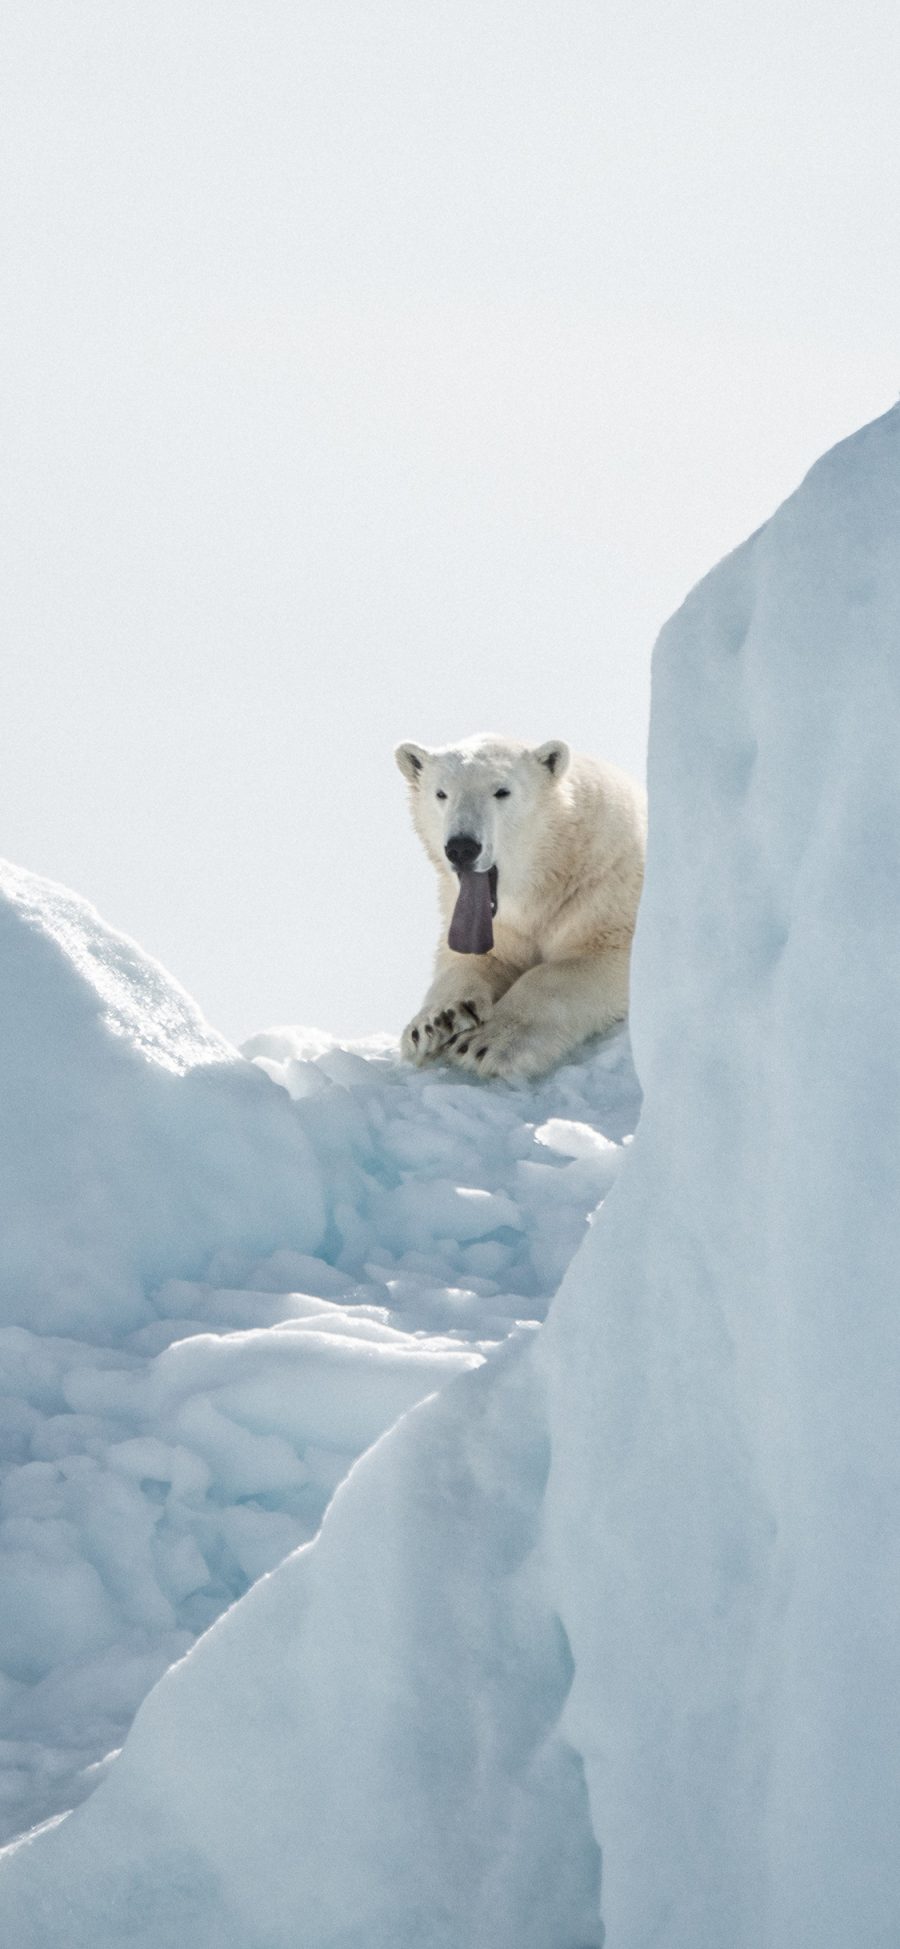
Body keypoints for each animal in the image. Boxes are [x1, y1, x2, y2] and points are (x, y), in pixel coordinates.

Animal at [397, 732, 642, 1083]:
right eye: (441, 793)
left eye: (502, 791)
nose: (462, 847)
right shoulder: (497, 926)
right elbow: (473, 957)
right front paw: (435, 1022)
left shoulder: (606, 890)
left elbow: (577, 965)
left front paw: (486, 1043)